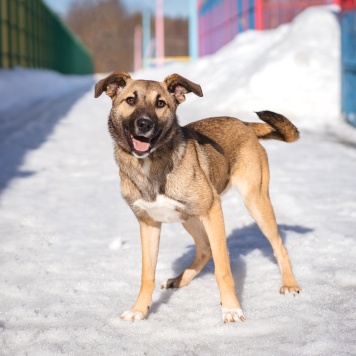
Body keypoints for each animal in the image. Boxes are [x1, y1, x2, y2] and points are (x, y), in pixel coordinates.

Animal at [94, 72, 300, 322]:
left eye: (160, 103)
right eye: (130, 100)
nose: (145, 124)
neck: (151, 163)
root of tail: (243, 124)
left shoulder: (213, 210)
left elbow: (223, 269)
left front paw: (231, 309)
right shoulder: (148, 223)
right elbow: (147, 274)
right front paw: (139, 310)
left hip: (255, 201)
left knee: (278, 246)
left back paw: (289, 284)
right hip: (188, 218)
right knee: (205, 249)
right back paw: (179, 279)